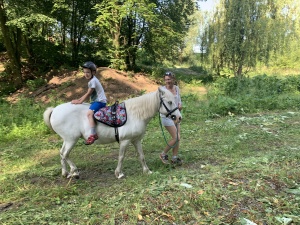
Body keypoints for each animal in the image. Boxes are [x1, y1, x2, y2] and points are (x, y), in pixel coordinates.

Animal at [43, 87, 182, 178]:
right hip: (71, 139)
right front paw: (119, 173)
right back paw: (75, 171)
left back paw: (65, 173)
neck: (135, 114)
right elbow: (121, 157)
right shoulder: (125, 141)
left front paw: (147, 171)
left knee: (61, 153)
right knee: (65, 154)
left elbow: (141, 156)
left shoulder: (136, 140)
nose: (179, 117)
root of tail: (54, 110)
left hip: (67, 140)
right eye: (169, 102)